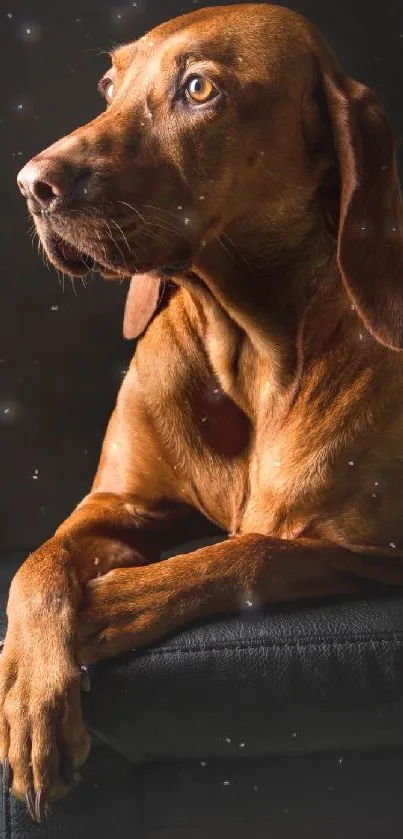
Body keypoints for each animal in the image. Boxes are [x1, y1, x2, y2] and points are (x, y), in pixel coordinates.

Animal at [0, 0, 403, 824]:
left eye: (198, 89)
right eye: (108, 84)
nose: (29, 185)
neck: (245, 345)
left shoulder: (376, 552)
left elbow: (251, 553)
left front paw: (111, 603)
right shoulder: (115, 505)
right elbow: (37, 564)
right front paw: (28, 689)